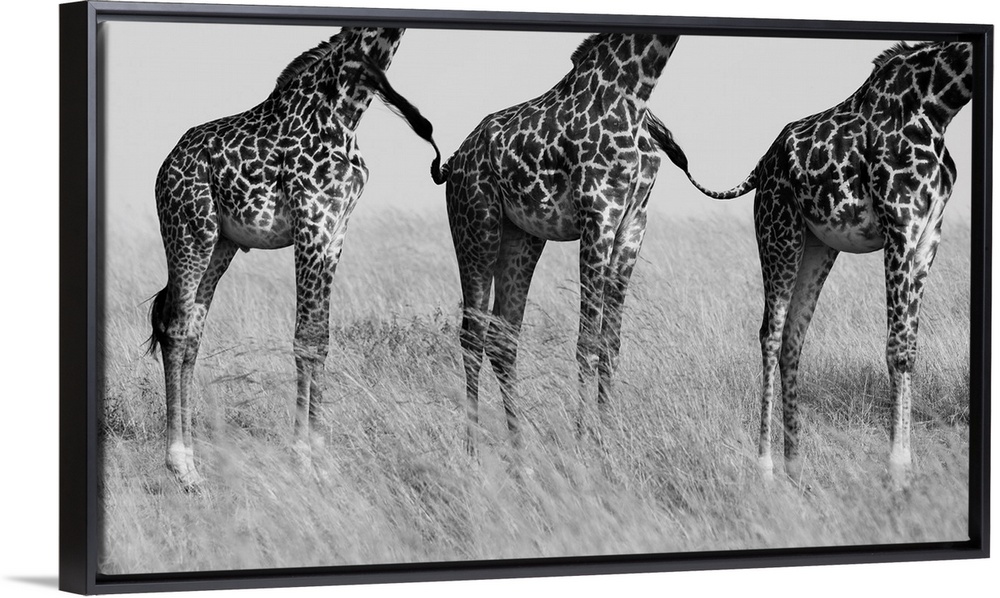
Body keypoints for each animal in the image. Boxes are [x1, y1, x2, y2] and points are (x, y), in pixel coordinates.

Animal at [147, 27, 440, 490]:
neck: (346, 110)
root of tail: (166, 165)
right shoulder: (311, 221)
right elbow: (306, 339)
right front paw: (305, 458)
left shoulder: (336, 229)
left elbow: (320, 339)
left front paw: (321, 460)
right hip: (190, 231)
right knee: (175, 329)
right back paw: (181, 466)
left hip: (222, 245)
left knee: (192, 330)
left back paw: (193, 462)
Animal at [430, 33, 681, 452]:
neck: (634, 93)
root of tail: (455, 161)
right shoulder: (598, 212)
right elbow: (587, 342)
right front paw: (585, 442)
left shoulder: (633, 221)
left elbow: (611, 343)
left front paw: (610, 439)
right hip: (477, 226)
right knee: (472, 333)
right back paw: (472, 451)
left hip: (522, 237)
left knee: (503, 338)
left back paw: (519, 450)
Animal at [675, 41, 973, 487]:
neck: (938, 104)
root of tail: (761, 165)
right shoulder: (899, 229)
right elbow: (897, 349)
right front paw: (896, 468)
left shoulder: (927, 237)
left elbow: (911, 348)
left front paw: (907, 465)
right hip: (778, 232)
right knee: (771, 334)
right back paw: (765, 467)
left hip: (817, 246)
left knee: (794, 338)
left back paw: (796, 466)